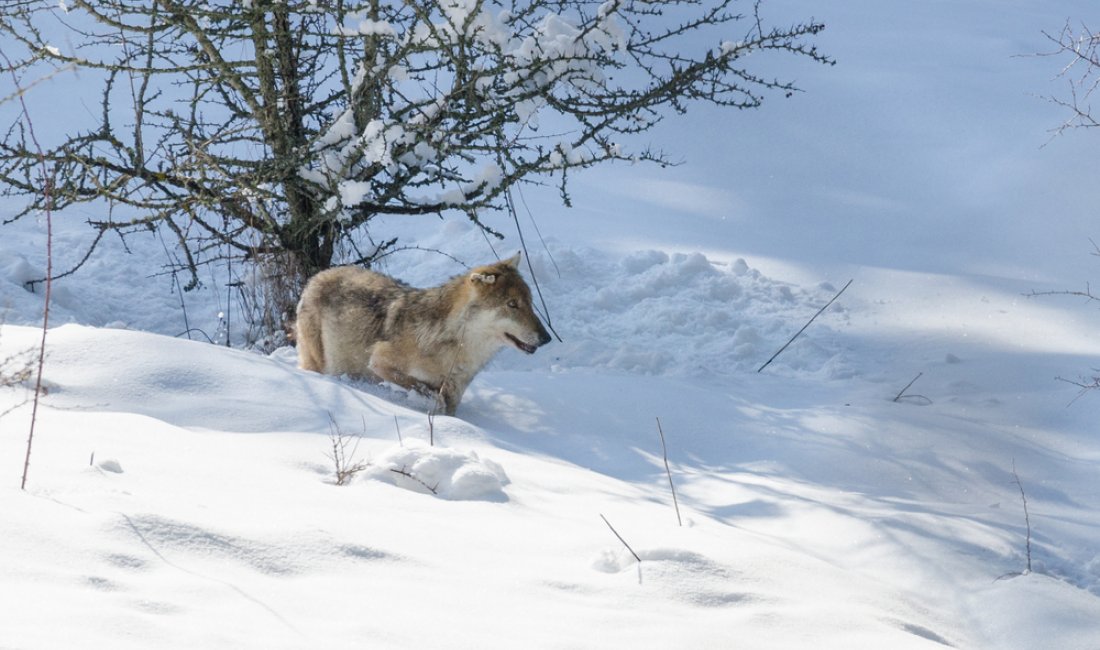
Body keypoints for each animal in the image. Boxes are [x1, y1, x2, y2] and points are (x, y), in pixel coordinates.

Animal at [294, 254, 550, 417]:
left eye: (530, 303)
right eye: (512, 304)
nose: (546, 338)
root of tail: (317, 276)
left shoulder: (455, 395)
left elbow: (447, 407)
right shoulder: (380, 362)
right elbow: (428, 394)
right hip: (319, 363)